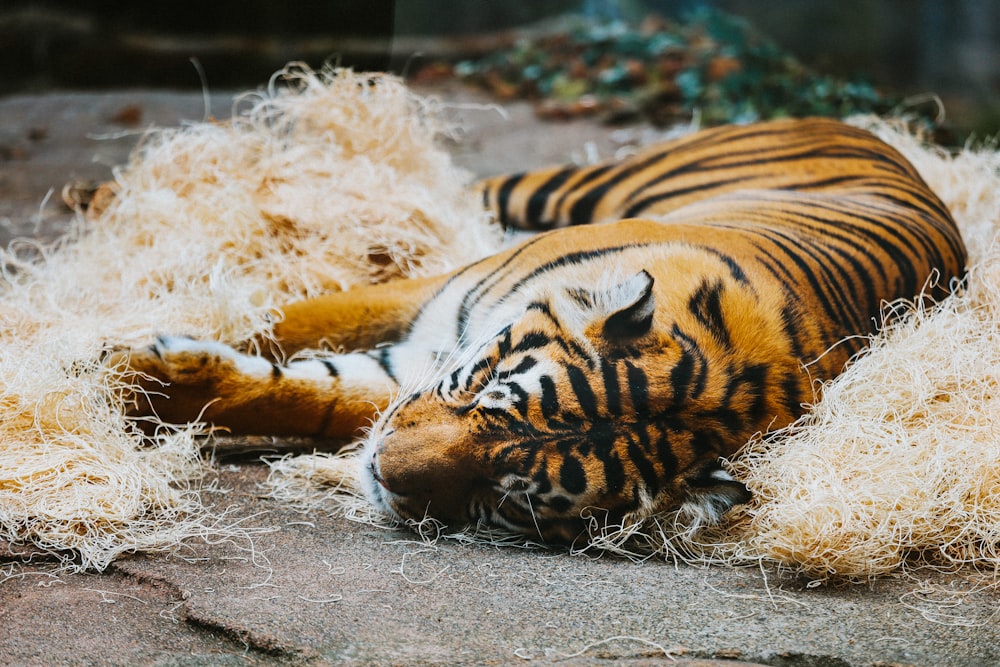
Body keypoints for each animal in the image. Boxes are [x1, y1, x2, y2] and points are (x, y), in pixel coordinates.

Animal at [119, 117, 968, 544]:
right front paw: (119, 359)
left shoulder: (408, 373)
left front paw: (138, 376)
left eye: (507, 497)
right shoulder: (436, 304)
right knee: (471, 187)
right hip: (578, 185)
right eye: (485, 390)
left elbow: (312, 395)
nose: (383, 476)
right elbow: (307, 317)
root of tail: (879, 135)